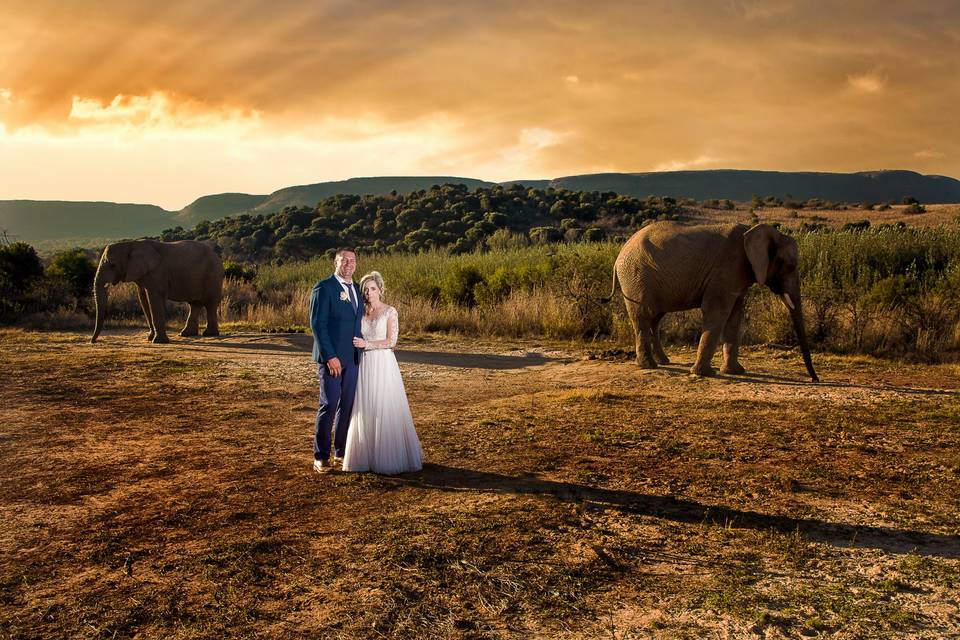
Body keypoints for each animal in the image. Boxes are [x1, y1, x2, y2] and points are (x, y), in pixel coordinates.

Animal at [91, 238, 224, 342]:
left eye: (113, 265)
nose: (93, 341)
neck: (132, 244)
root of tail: (217, 256)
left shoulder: (156, 273)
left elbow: (154, 299)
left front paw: (158, 341)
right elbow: (143, 299)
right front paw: (150, 338)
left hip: (213, 276)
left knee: (210, 304)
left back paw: (210, 334)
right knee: (195, 304)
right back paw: (186, 334)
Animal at [608, 221, 816, 380]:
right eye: (789, 265)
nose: (814, 379)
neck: (754, 231)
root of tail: (618, 257)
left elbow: (735, 315)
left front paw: (735, 372)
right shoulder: (726, 270)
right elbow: (717, 312)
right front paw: (705, 373)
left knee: (655, 319)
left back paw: (662, 362)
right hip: (635, 279)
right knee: (643, 317)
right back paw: (649, 366)